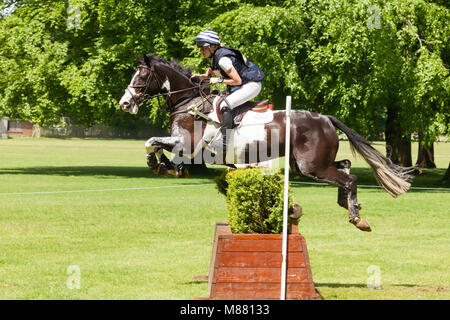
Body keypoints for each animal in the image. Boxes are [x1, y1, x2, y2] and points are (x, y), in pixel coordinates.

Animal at [118, 53, 414, 231]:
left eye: (141, 77)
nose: (124, 103)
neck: (188, 102)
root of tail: (326, 118)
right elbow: (156, 143)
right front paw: (165, 165)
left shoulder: (188, 145)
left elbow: (151, 141)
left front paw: (159, 163)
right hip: (305, 163)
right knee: (346, 165)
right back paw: (347, 204)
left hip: (311, 166)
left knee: (349, 177)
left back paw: (356, 217)